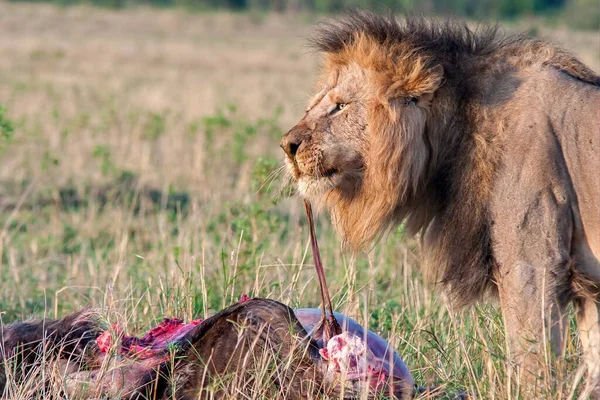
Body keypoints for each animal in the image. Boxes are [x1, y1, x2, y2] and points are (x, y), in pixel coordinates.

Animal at [282, 12, 600, 396]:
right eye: (312, 106)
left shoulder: (534, 265)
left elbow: (533, 365)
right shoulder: (591, 290)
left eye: (340, 105)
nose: (287, 145)